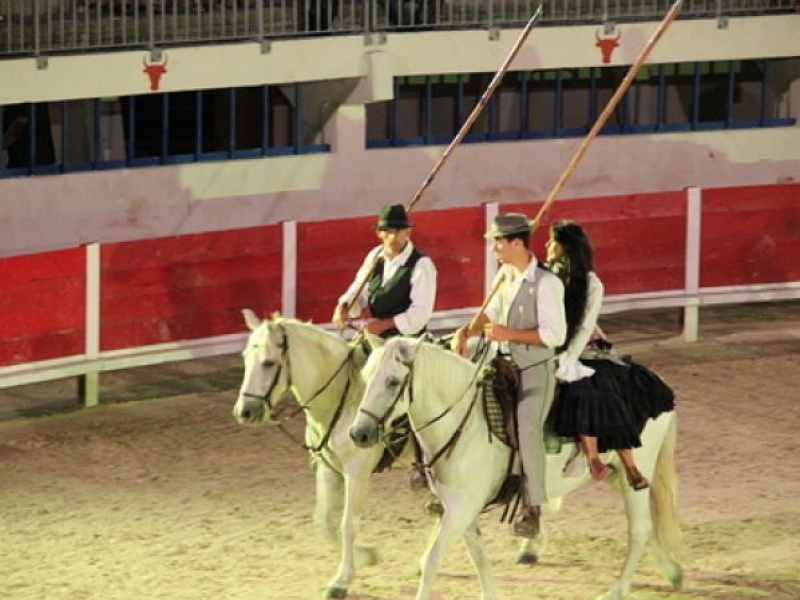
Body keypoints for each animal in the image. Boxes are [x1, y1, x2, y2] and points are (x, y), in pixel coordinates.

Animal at [231, 312, 384, 596]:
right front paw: (367, 555)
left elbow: (348, 524)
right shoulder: (327, 467)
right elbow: (324, 521)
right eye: (245, 358)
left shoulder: (356, 473)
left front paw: (341, 580)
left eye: (268, 363)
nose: (243, 411)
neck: (344, 396)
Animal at [348, 338, 680, 600]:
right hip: (615, 474)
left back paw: (617, 590)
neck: (464, 424)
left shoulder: (460, 508)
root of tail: (657, 381)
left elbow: (433, 561)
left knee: (639, 529)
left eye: (393, 381)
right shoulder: (461, 509)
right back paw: (673, 571)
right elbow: (479, 557)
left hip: (635, 472)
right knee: (651, 526)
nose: (358, 433)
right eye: (365, 376)